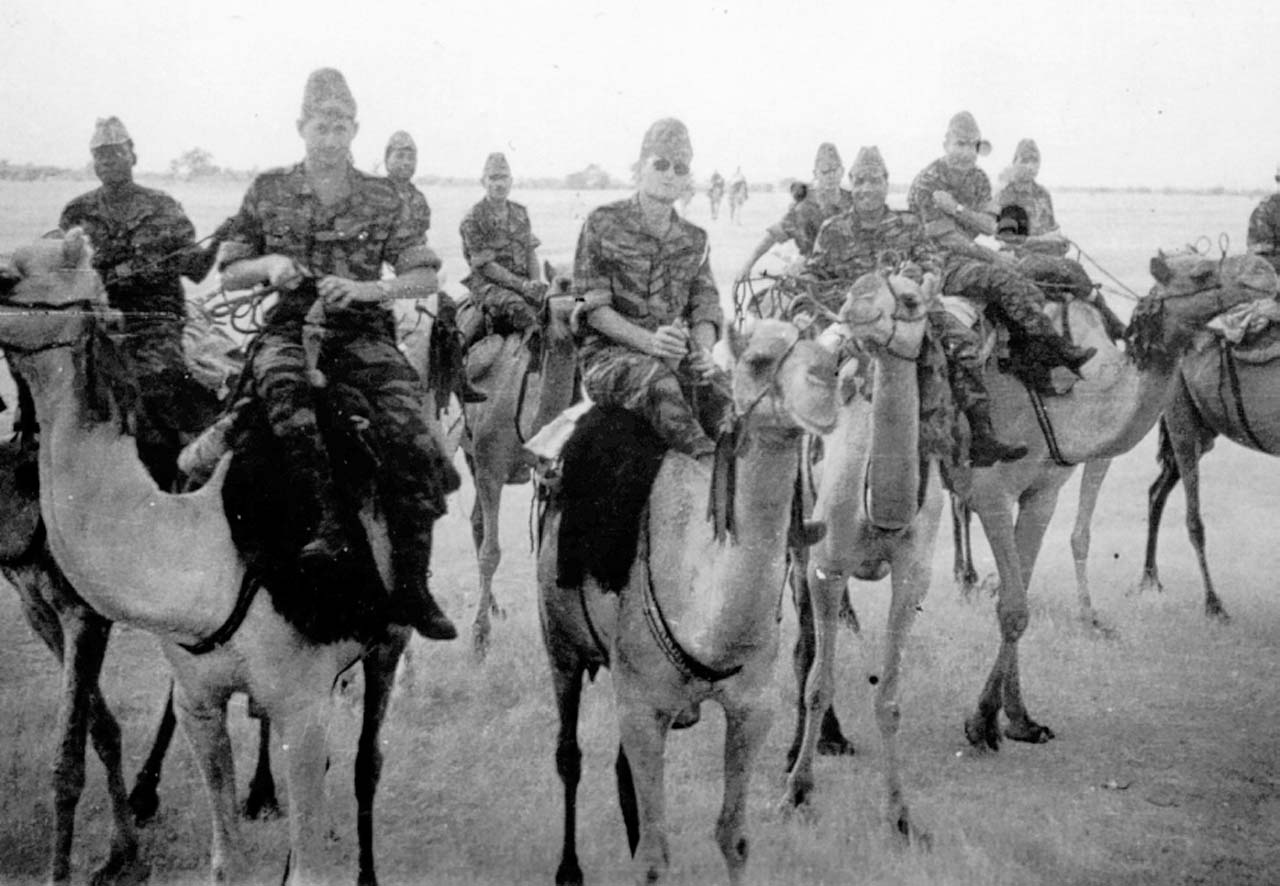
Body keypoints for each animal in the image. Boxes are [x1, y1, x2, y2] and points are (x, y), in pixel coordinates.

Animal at [0, 230, 416, 885]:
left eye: (8, 277)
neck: (202, 556)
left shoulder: (300, 702)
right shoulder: (199, 699)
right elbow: (226, 859)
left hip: (390, 640)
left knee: (367, 761)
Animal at [460, 265, 578, 657]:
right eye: (560, 286)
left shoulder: (550, 472)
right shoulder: (490, 466)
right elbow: (491, 552)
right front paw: (479, 640)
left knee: (476, 521)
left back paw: (496, 608)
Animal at [537, 318, 839, 886]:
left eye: (834, 357)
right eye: (759, 361)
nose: (826, 384)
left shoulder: (752, 708)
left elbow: (734, 838)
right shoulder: (641, 707)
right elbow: (655, 860)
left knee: (619, 770)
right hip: (560, 644)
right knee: (569, 755)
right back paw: (569, 869)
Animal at [782, 272, 945, 840]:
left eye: (912, 299)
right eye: (859, 285)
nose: (857, 303)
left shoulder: (913, 577)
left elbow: (890, 699)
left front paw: (901, 816)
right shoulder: (826, 566)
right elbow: (817, 682)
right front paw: (796, 794)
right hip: (797, 543)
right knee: (805, 649)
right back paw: (800, 750)